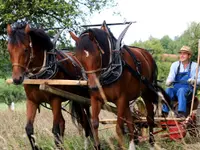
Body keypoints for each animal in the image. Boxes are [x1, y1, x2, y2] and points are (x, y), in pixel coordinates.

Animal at [6, 22, 92, 150]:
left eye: (26, 49)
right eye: (9, 50)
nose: (17, 79)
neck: (40, 75)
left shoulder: (55, 99)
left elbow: (55, 129)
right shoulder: (31, 101)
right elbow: (29, 129)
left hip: (82, 99)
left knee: (86, 122)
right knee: (68, 122)